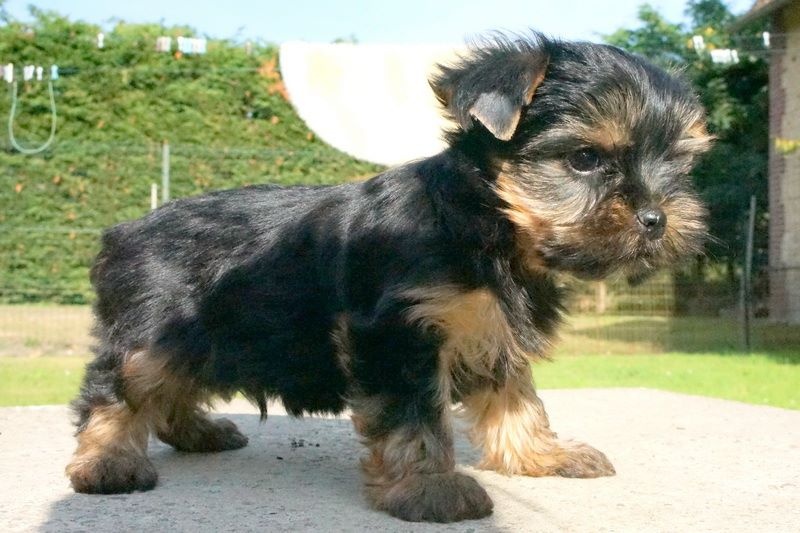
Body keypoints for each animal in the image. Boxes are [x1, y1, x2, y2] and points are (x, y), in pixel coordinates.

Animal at [66, 33, 710, 523]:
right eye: (585, 160)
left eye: (677, 164)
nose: (657, 218)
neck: (486, 226)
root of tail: (124, 230)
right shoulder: (399, 330)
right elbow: (413, 415)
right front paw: (429, 487)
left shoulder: (489, 329)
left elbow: (516, 397)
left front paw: (541, 454)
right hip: (153, 330)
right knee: (119, 386)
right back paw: (107, 462)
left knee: (172, 386)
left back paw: (197, 433)